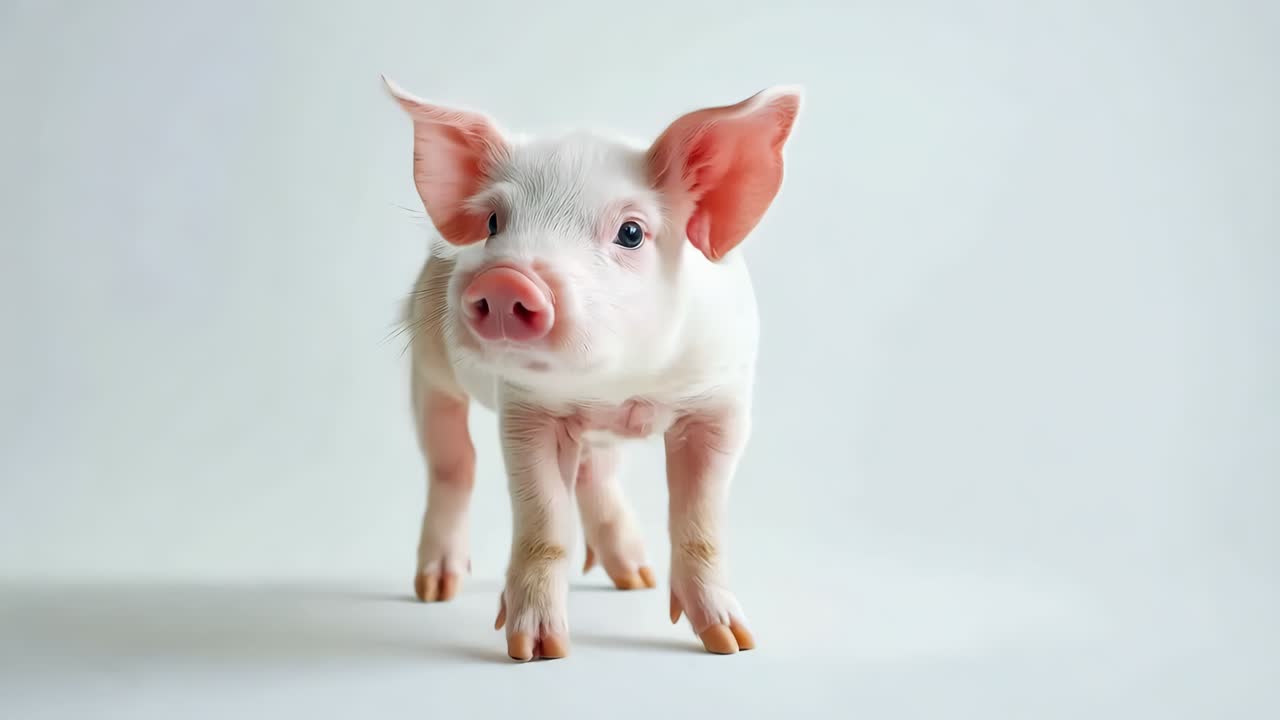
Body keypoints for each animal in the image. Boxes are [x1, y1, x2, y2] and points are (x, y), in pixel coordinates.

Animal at [384, 76, 802, 661]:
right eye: (493, 223)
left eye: (631, 232)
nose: (505, 278)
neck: (619, 386)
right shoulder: (524, 411)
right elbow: (543, 522)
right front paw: (536, 651)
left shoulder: (721, 405)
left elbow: (701, 523)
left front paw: (733, 642)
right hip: (428, 368)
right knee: (452, 462)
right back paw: (435, 590)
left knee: (595, 474)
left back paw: (636, 579)